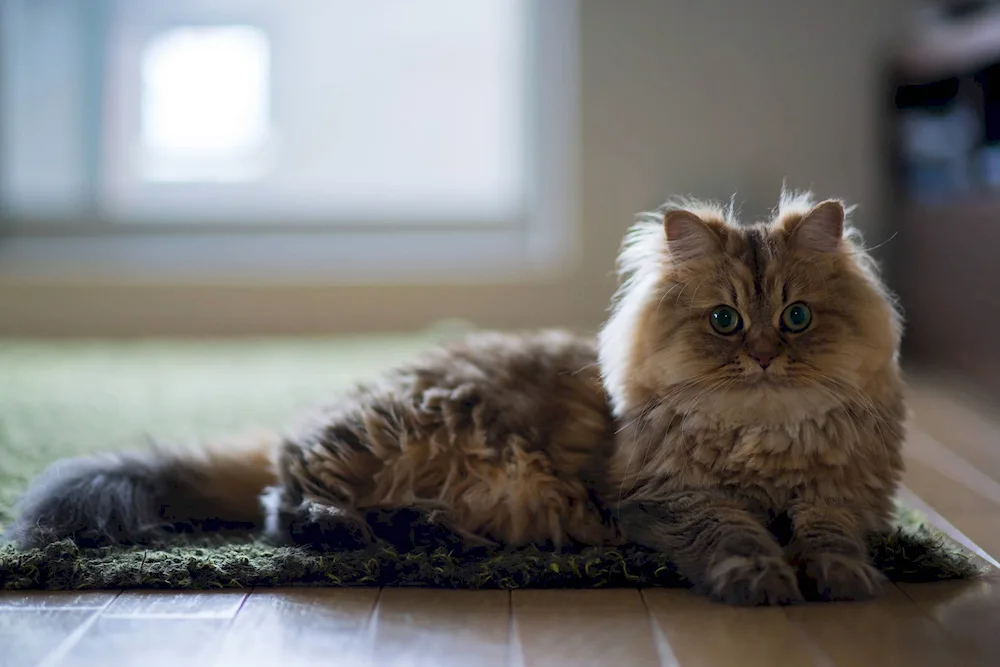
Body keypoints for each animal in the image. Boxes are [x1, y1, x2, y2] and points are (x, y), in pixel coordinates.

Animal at [1, 190, 908, 608]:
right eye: (725, 320)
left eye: (796, 317)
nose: (763, 355)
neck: (764, 437)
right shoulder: (668, 496)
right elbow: (735, 534)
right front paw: (763, 577)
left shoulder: (844, 494)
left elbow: (829, 537)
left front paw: (841, 577)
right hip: (405, 434)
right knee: (281, 503)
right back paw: (355, 531)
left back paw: (426, 534)